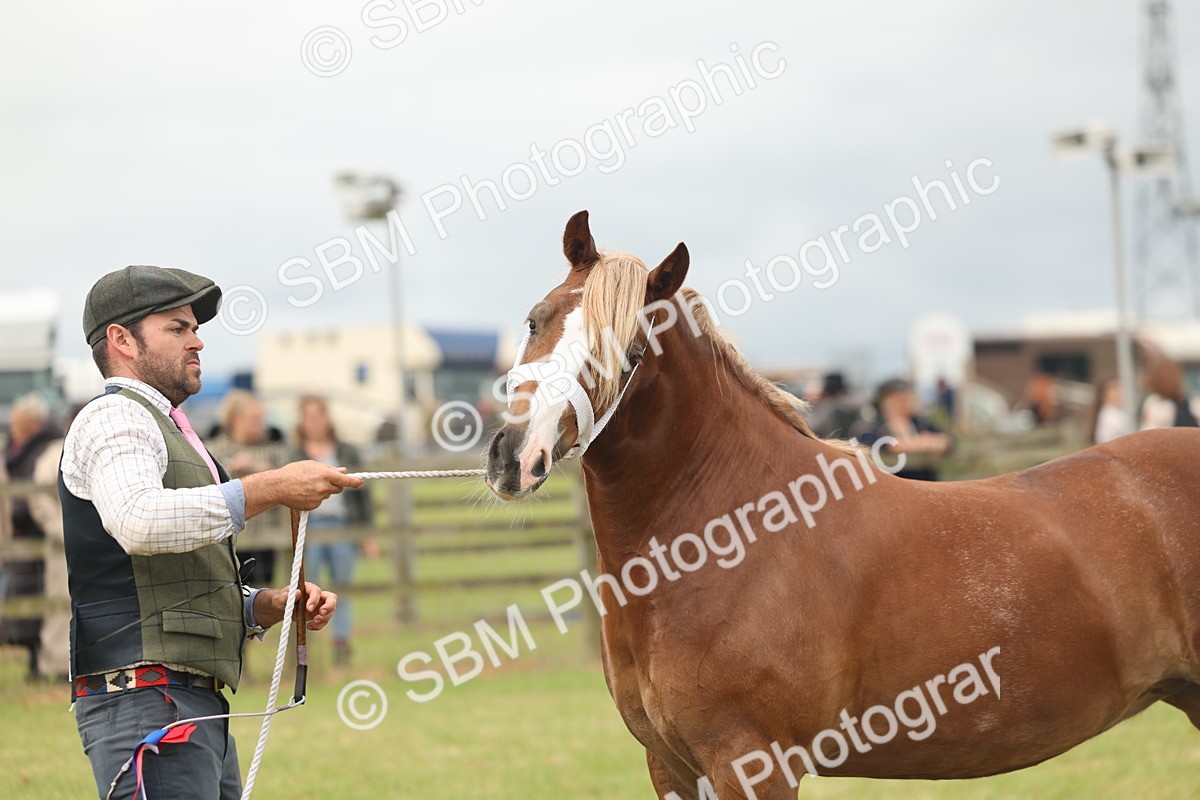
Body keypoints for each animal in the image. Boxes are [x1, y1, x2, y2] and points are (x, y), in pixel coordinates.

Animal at [485, 210, 1200, 799]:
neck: (729, 531)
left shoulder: (754, 763)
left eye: (629, 352)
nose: (513, 455)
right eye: (535, 319)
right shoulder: (672, 768)